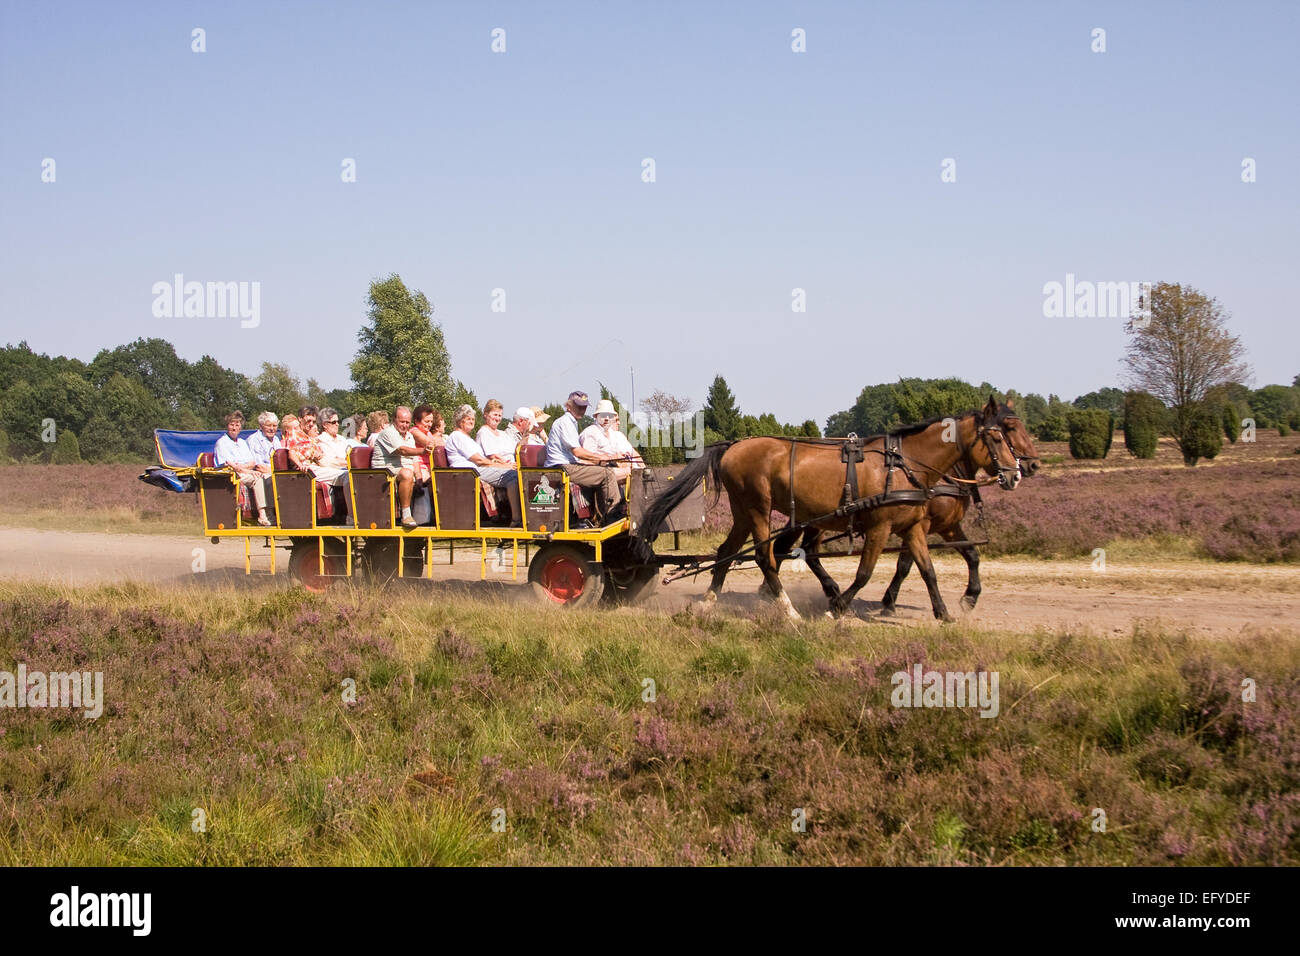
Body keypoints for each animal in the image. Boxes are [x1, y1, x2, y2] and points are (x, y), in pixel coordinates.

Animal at [634, 395, 1019, 621]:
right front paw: (839, 607)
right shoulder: (880, 527)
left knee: (728, 552)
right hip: (758, 508)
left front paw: (944, 612)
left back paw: (709, 601)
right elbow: (865, 573)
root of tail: (733, 446)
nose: (1018, 472)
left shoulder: (912, 527)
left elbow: (928, 570)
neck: (905, 465)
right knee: (765, 556)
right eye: (998, 435)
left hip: (745, 511)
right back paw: (788, 609)